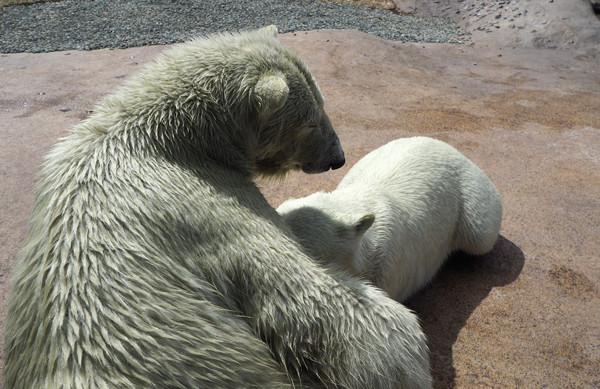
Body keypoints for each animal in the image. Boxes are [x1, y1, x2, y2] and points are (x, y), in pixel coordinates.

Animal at [3, 27, 432, 388]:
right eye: (311, 120)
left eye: (322, 104)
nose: (338, 158)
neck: (172, 139)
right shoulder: (214, 210)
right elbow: (312, 304)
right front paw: (399, 357)